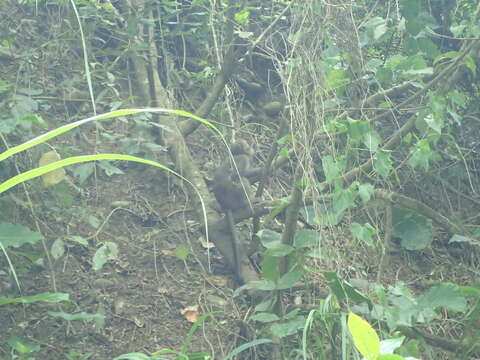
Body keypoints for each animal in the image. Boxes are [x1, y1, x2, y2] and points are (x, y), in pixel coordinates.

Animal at [213, 139, 258, 282]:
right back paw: (250, 201)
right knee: (242, 180)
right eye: (246, 145)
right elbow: (239, 175)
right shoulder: (243, 159)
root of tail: (227, 206)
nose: (250, 146)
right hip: (236, 198)